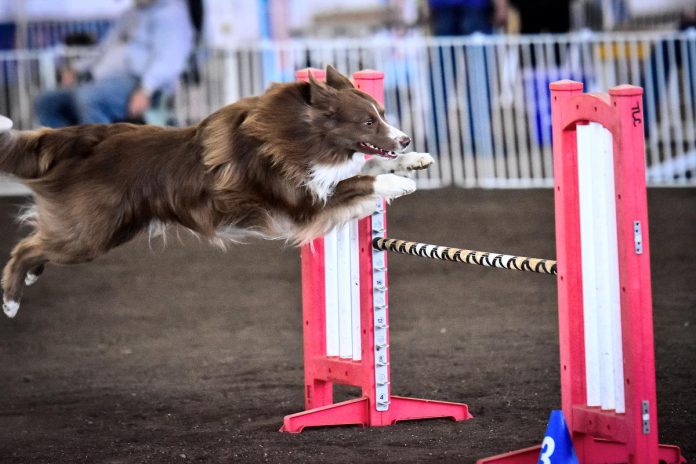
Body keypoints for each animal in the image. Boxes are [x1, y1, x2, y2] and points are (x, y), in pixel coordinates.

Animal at [0, 65, 432, 318]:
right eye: (367, 122)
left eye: (382, 114)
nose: (406, 139)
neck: (298, 133)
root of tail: (84, 137)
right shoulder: (303, 204)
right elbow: (359, 179)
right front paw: (400, 181)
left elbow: (367, 166)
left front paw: (415, 162)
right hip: (92, 232)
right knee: (26, 247)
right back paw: (10, 300)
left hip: (107, 228)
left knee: (40, 243)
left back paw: (31, 279)